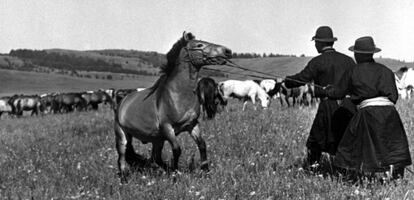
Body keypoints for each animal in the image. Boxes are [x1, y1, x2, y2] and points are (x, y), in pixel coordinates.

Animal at [114, 31, 230, 181]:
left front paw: (206, 171)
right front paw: (175, 174)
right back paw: (124, 179)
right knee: (122, 158)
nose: (227, 51)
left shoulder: (192, 125)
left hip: (157, 139)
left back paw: (162, 170)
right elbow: (177, 149)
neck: (178, 95)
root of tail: (123, 101)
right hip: (122, 135)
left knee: (155, 158)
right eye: (199, 45)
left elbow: (202, 145)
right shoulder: (167, 128)